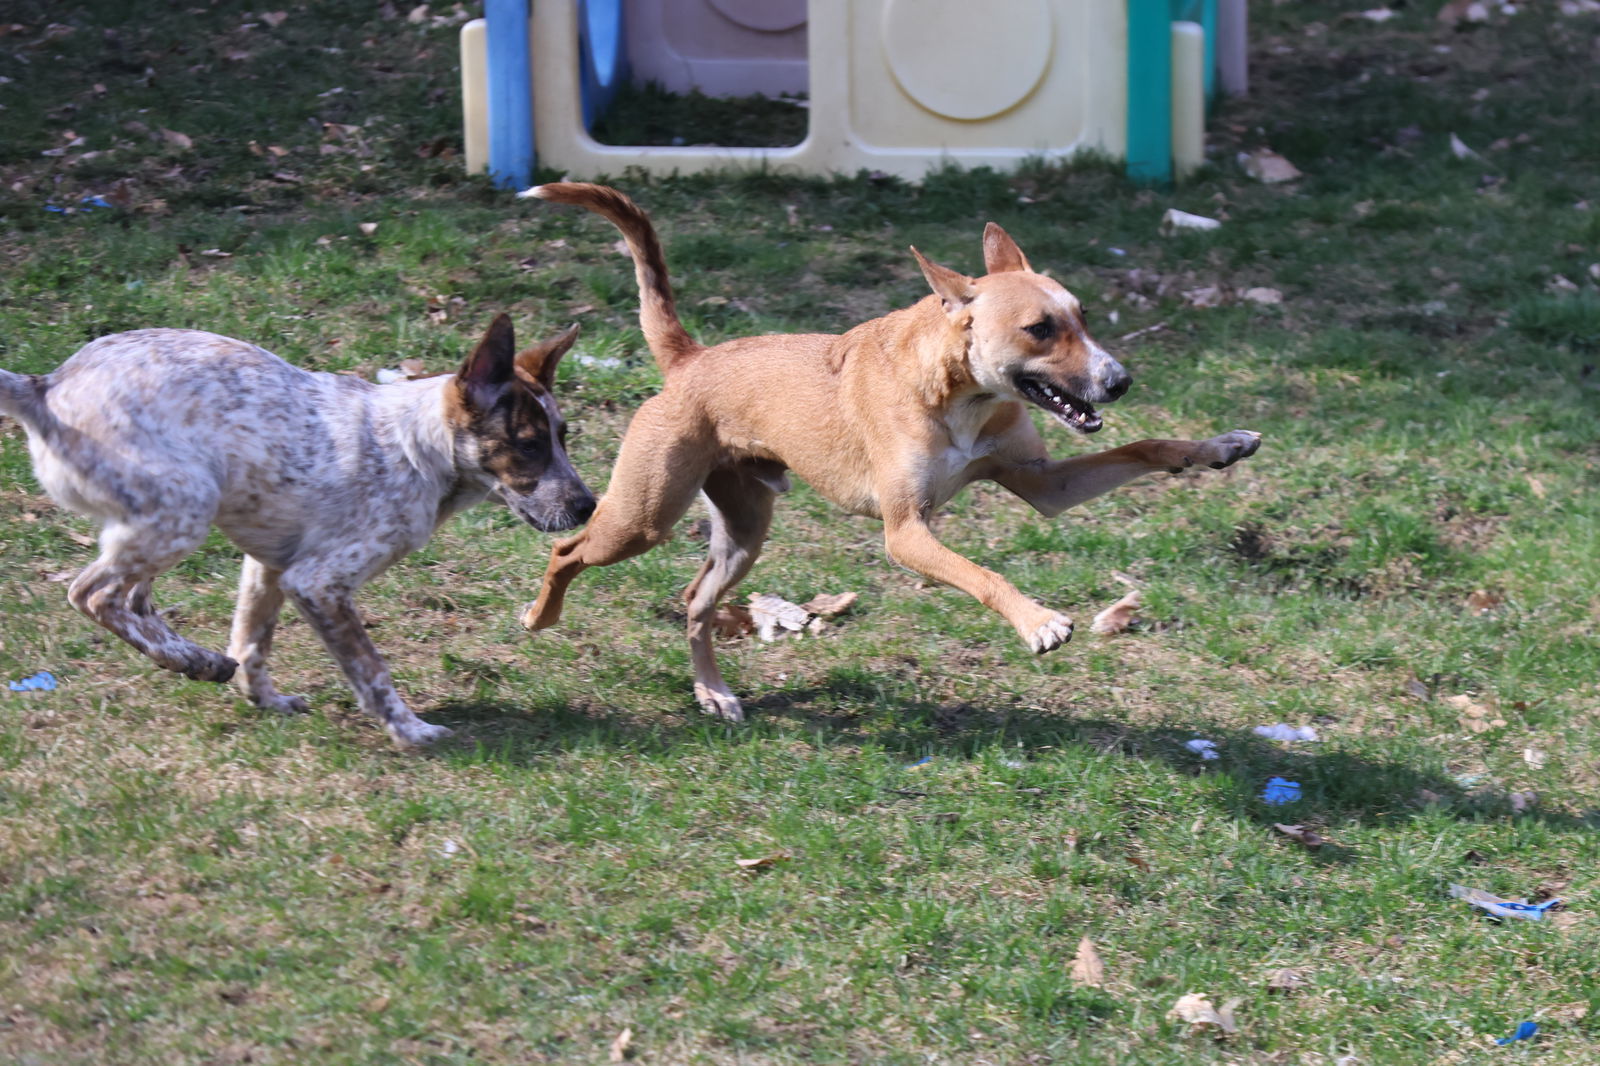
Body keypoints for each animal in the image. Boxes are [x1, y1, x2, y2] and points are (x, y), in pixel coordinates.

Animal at [0, 315, 595, 742]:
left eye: (564, 435)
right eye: (528, 445)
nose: (589, 506)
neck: (416, 448)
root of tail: (45, 386)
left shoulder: (269, 568)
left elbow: (252, 645)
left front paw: (264, 700)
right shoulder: (318, 582)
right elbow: (372, 671)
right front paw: (410, 730)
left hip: (159, 521)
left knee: (136, 602)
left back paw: (198, 661)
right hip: (184, 511)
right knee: (93, 595)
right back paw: (187, 658)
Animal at [518, 182, 1254, 717]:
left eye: (1083, 316)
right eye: (1040, 328)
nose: (1119, 380)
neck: (957, 395)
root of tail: (690, 359)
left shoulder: (1043, 483)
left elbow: (1147, 447)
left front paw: (1220, 444)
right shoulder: (906, 532)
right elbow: (982, 575)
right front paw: (1038, 622)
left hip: (743, 532)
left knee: (696, 604)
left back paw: (714, 692)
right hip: (644, 517)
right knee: (568, 550)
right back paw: (540, 614)